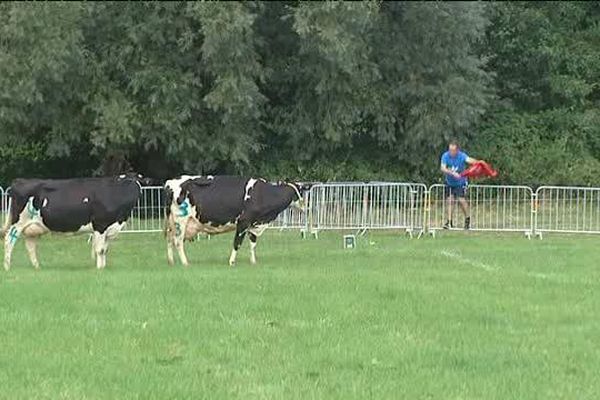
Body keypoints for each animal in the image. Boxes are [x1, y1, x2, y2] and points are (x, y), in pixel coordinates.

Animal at [2, 173, 148, 270]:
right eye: (132, 183)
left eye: (139, 183)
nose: (136, 192)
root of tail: (19, 181)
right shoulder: (100, 225)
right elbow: (100, 250)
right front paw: (99, 269)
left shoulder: (110, 228)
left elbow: (105, 250)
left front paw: (103, 267)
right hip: (18, 223)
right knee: (9, 241)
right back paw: (7, 266)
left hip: (33, 226)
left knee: (30, 245)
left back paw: (37, 267)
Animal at [165, 175, 310, 266]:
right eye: (300, 192)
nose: (305, 206)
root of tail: (170, 182)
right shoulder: (243, 222)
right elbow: (237, 243)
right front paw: (231, 262)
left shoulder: (254, 225)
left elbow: (253, 244)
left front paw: (253, 262)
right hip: (180, 221)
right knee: (178, 242)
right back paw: (185, 263)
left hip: (172, 223)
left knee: (170, 240)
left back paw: (171, 262)